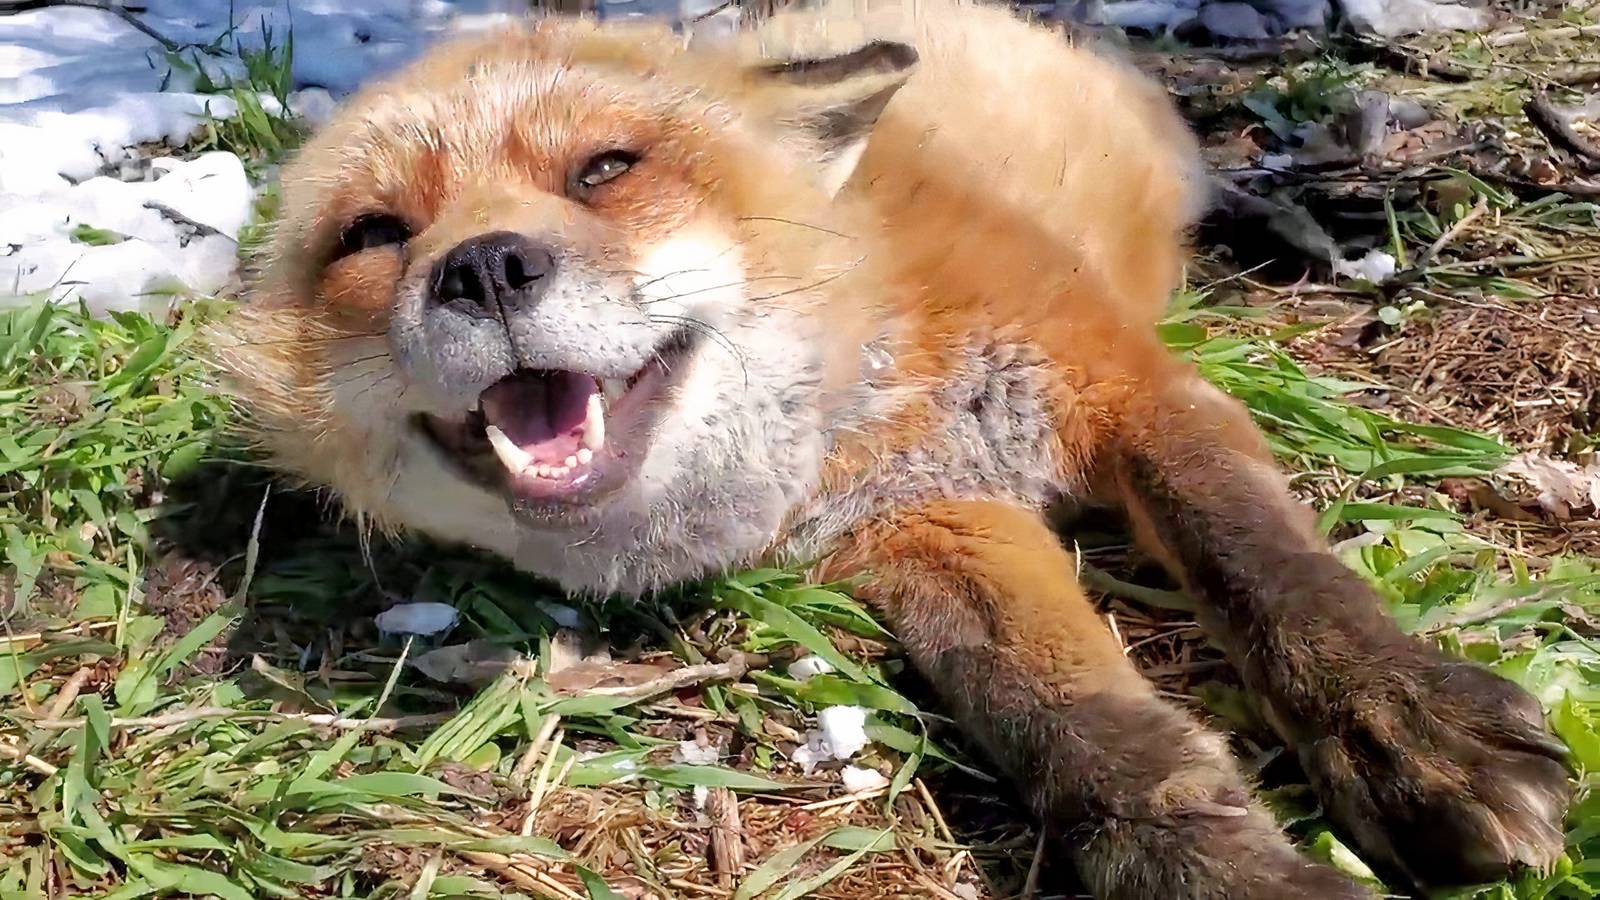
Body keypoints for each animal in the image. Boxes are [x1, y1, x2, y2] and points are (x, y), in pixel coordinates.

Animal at [214, 0, 1572, 895]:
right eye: (374, 235)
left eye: (604, 168)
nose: (484, 267)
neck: (862, 387)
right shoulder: (922, 528)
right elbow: (1074, 725)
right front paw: (1222, 862)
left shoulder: (1121, 382)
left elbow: (1271, 572)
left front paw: (1410, 726)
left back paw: (1301, 218)